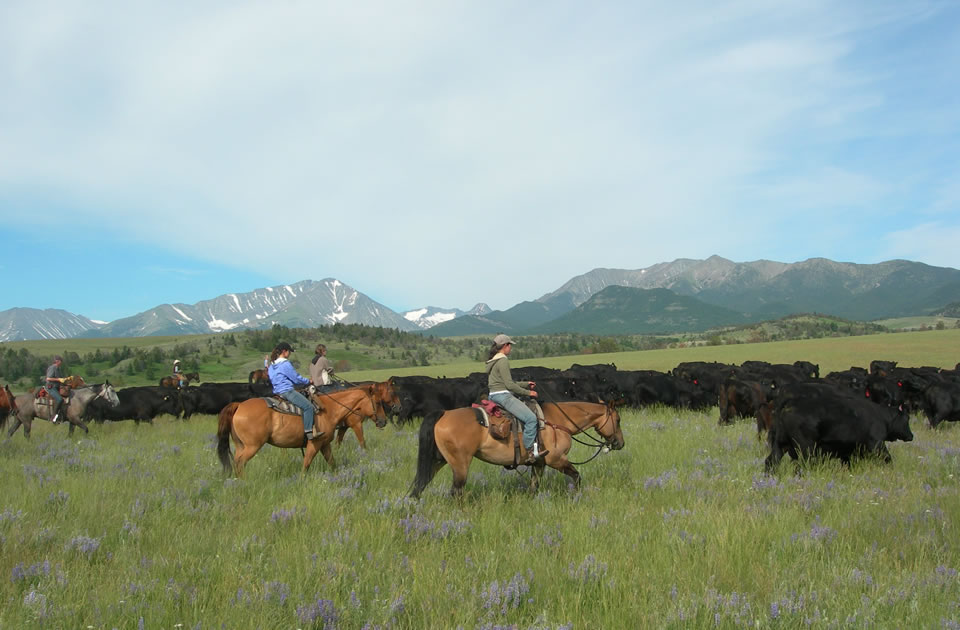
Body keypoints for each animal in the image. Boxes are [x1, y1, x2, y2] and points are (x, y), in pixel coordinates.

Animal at [216, 380, 400, 478]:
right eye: (378, 402)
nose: (383, 421)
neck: (330, 408)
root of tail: (238, 405)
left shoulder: (326, 444)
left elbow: (332, 461)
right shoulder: (316, 442)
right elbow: (306, 463)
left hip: (241, 445)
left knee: (236, 462)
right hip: (252, 446)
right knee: (240, 463)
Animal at [408, 402, 628, 502]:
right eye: (617, 420)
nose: (620, 443)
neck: (557, 423)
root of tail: (443, 414)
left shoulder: (539, 463)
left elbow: (533, 486)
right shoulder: (557, 460)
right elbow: (577, 476)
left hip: (437, 461)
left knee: (419, 486)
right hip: (460, 464)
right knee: (456, 491)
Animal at [764, 380, 916, 474]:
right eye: (907, 418)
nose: (911, 435)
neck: (881, 416)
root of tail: (788, 403)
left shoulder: (847, 452)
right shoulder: (877, 445)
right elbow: (888, 460)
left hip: (781, 444)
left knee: (771, 461)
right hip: (805, 449)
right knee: (801, 466)